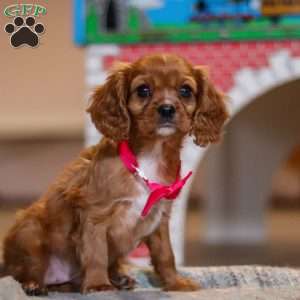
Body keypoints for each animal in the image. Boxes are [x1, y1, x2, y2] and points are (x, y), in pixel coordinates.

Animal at [1, 54, 227, 296]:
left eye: (185, 91)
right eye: (143, 90)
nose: (167, 109)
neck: (148, 156)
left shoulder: (160, 218)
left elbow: (166, 254)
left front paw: (175, 283)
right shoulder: (94, 215)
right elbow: (96, 253)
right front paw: (99, 285)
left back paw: (118, 278)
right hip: (29, 230)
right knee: (24, 271)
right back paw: (34, 285)